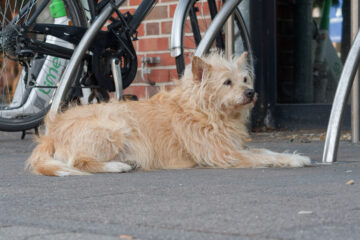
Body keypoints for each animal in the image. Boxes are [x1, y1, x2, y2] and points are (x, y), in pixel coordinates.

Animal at [26, 52, 310, 176]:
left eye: (245, 79)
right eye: (227, 82)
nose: (251, 92)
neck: (204, 109)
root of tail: (50, 133)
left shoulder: (231, 147)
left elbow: (266, 151)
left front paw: (296, 156)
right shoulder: (225, 154)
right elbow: (262, 157)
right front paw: (293, 160)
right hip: (115, 126)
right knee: (79, 162)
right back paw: (116, 165)